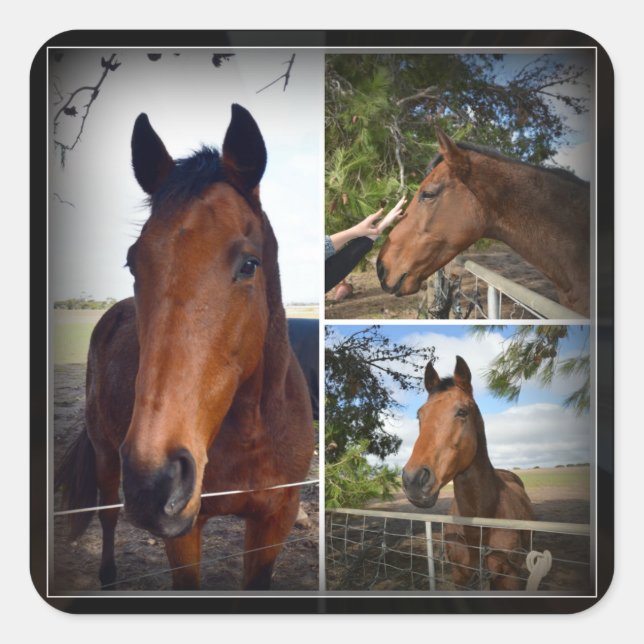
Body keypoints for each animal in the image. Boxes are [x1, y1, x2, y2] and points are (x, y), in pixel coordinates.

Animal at [55, 104, 315, 591]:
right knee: (107, 516)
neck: (250, 430)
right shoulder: (183, 532)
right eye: (132, 263)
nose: (154, 480)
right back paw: (107, 576)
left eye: (249, 264)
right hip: (106, 456)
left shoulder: (275, 520)